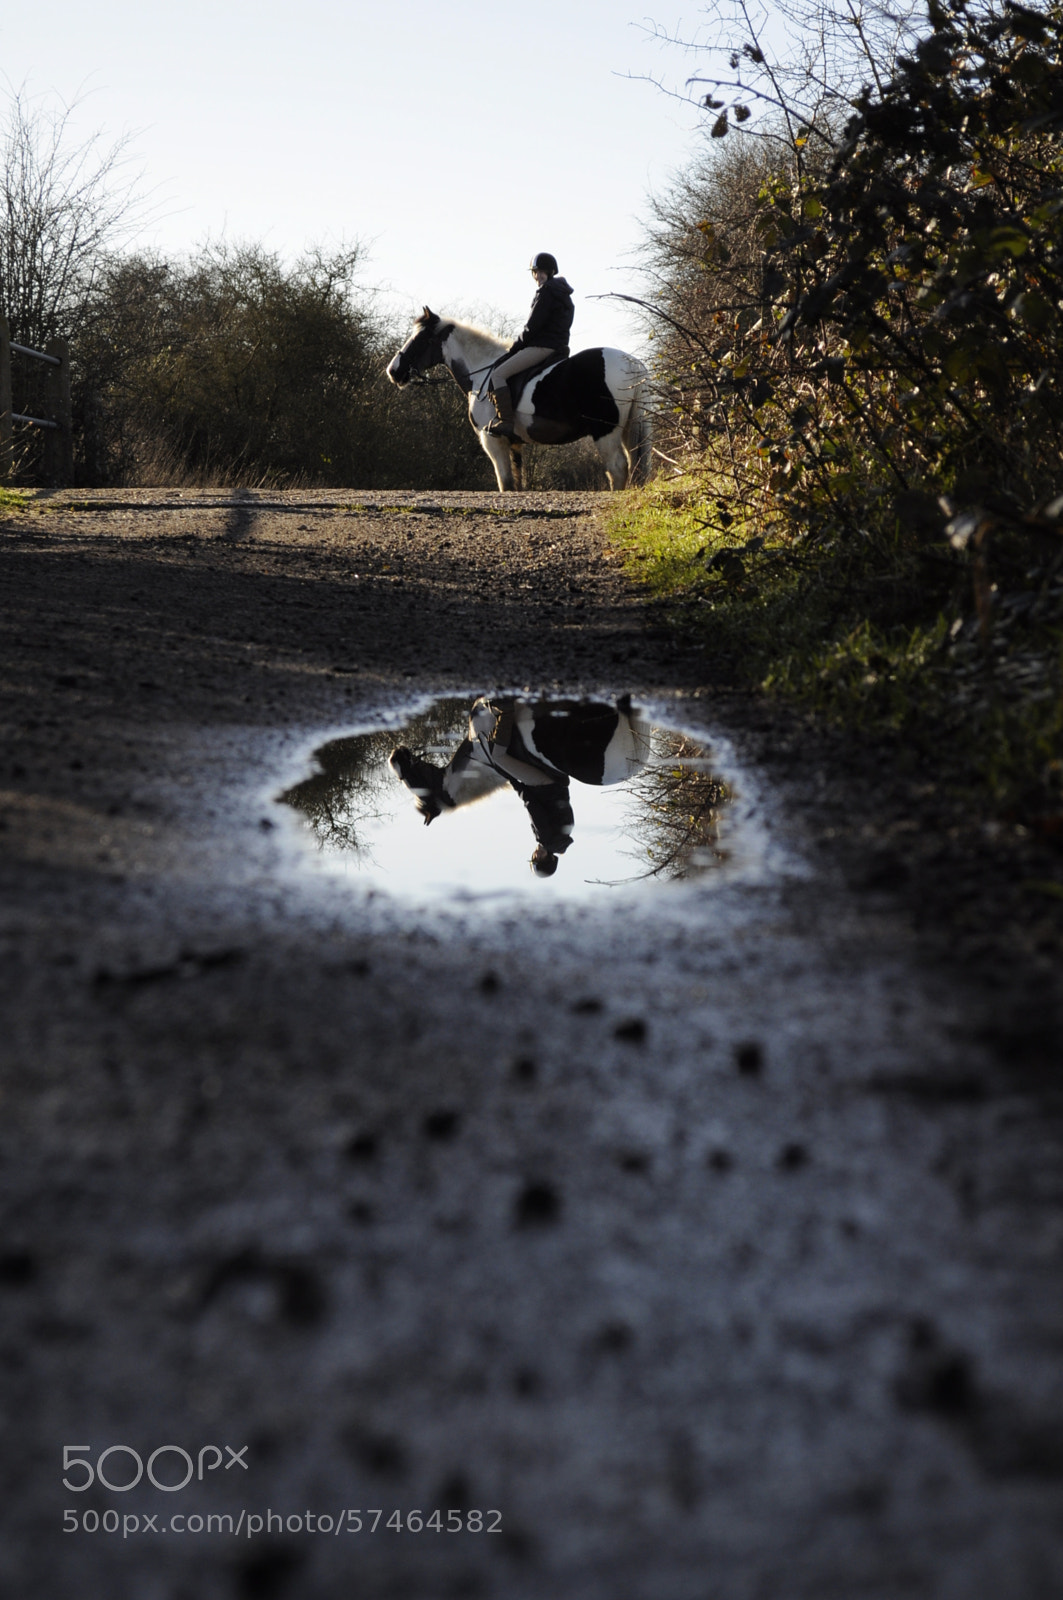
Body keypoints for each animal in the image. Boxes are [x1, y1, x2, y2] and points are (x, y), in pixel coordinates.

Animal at [386, 308, 653, 492]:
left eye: (420, 339)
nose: (393, 371)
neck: (482, 371)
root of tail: (633, 364)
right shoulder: (514, 444)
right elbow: (516, 483)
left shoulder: (492, 439)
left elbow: (504, 483)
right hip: (627, 430)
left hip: (605, 432)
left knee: (617, 469)